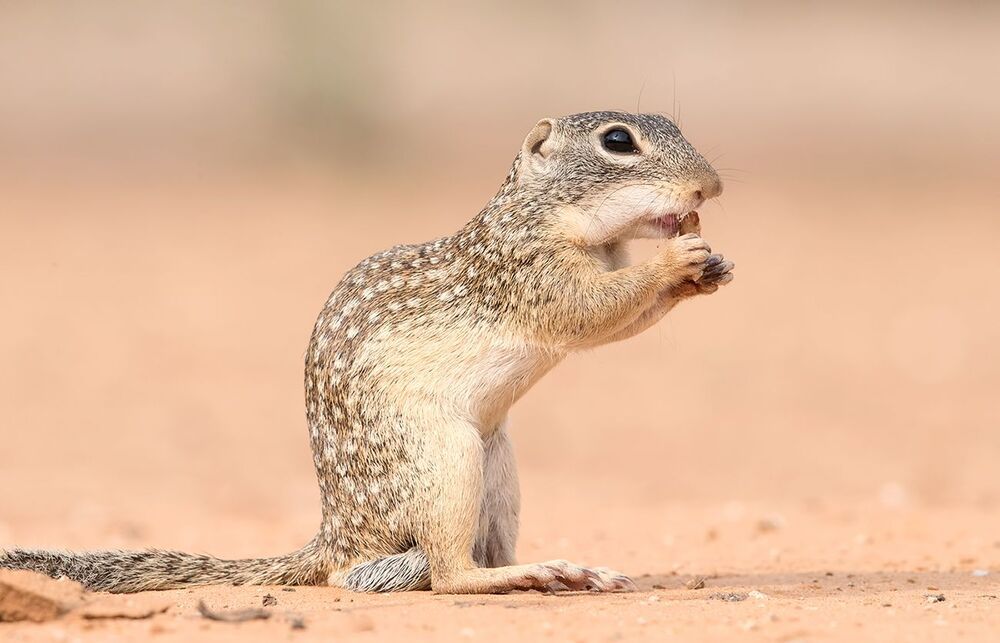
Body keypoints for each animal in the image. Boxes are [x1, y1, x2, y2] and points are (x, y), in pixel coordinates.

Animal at [1, 111, 733, 594]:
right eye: (618, 141)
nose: (712, 186)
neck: (544, 215)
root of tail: (339, 533)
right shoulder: (525, 270)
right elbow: (590, 311)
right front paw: (675, 260)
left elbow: (618, 320)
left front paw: (707, 270)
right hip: (445, 459)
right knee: (448, 574)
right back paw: (528, 574)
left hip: (499, 468)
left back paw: (562, 569)